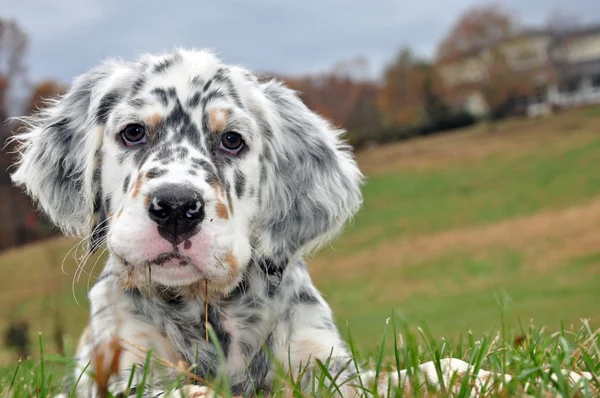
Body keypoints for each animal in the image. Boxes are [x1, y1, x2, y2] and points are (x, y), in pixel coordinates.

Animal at [10, 49, 584, 398]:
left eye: (232, 141)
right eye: (133, 133)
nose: (176, 207)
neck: (210, 310)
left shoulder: (327, 365)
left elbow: (428, 370)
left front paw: (555, 375)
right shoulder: (118, 368)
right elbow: (180, 391)